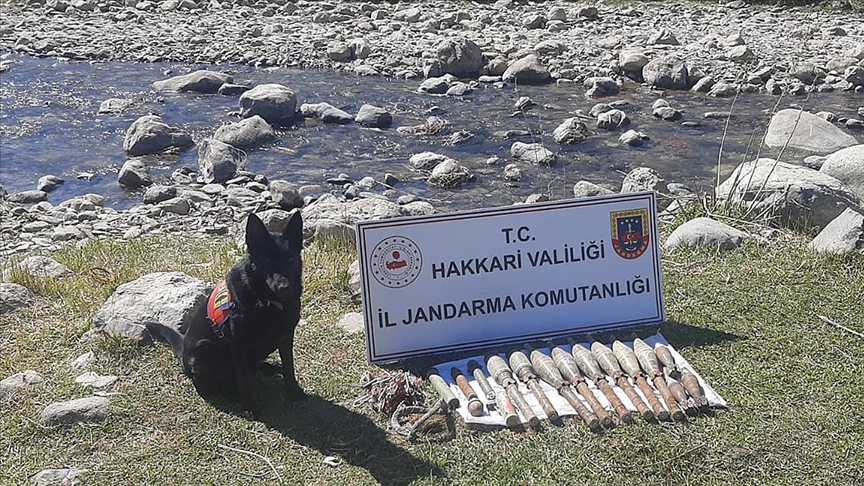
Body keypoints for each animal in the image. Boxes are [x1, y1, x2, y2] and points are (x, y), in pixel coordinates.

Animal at [150, 211, 306, 416]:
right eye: (267, 261)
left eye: (290, 260)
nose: (284, 287)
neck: (267, 303)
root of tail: (183, 349)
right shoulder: (238, 345)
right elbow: (244, 380)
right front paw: (250, 407)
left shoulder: (286, 336)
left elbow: (289, 367)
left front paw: (294, 391)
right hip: (205, 348)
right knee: (209, 387)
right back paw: (233, 394)